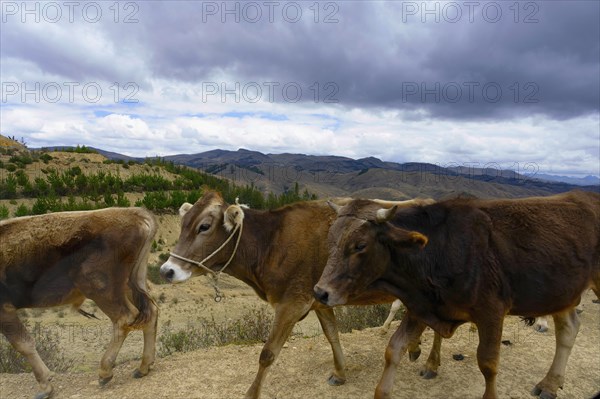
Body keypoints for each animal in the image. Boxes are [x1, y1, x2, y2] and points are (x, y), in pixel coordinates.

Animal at [0, 209, 159, 399]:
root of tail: (135, 213)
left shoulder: (4, 310)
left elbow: (23, 344)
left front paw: (45, 386)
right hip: (132, 283)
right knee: (151, 312)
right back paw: (144, 366)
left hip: (100, 288)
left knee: (124, 319)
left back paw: (105, 371)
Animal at [157, 191, 436, 399]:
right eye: (182, 225)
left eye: (203, 226)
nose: (167, 270)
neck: (271, 242)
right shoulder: (319, 299)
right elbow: (332, 335)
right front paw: (340, 372)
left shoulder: (291, 303)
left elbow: (267, 354)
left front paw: (251, 394)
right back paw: (417, 350)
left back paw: (431, 363)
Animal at [314, 191, 600, 399]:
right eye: (330, 240)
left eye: (360, 245)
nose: (320, 292)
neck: (438, 249)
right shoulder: (421, 306)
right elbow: (393, 350)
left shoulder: (491, 312)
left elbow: (488, 364)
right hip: (562, 294)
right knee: (569, 329)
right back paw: (550, 384)